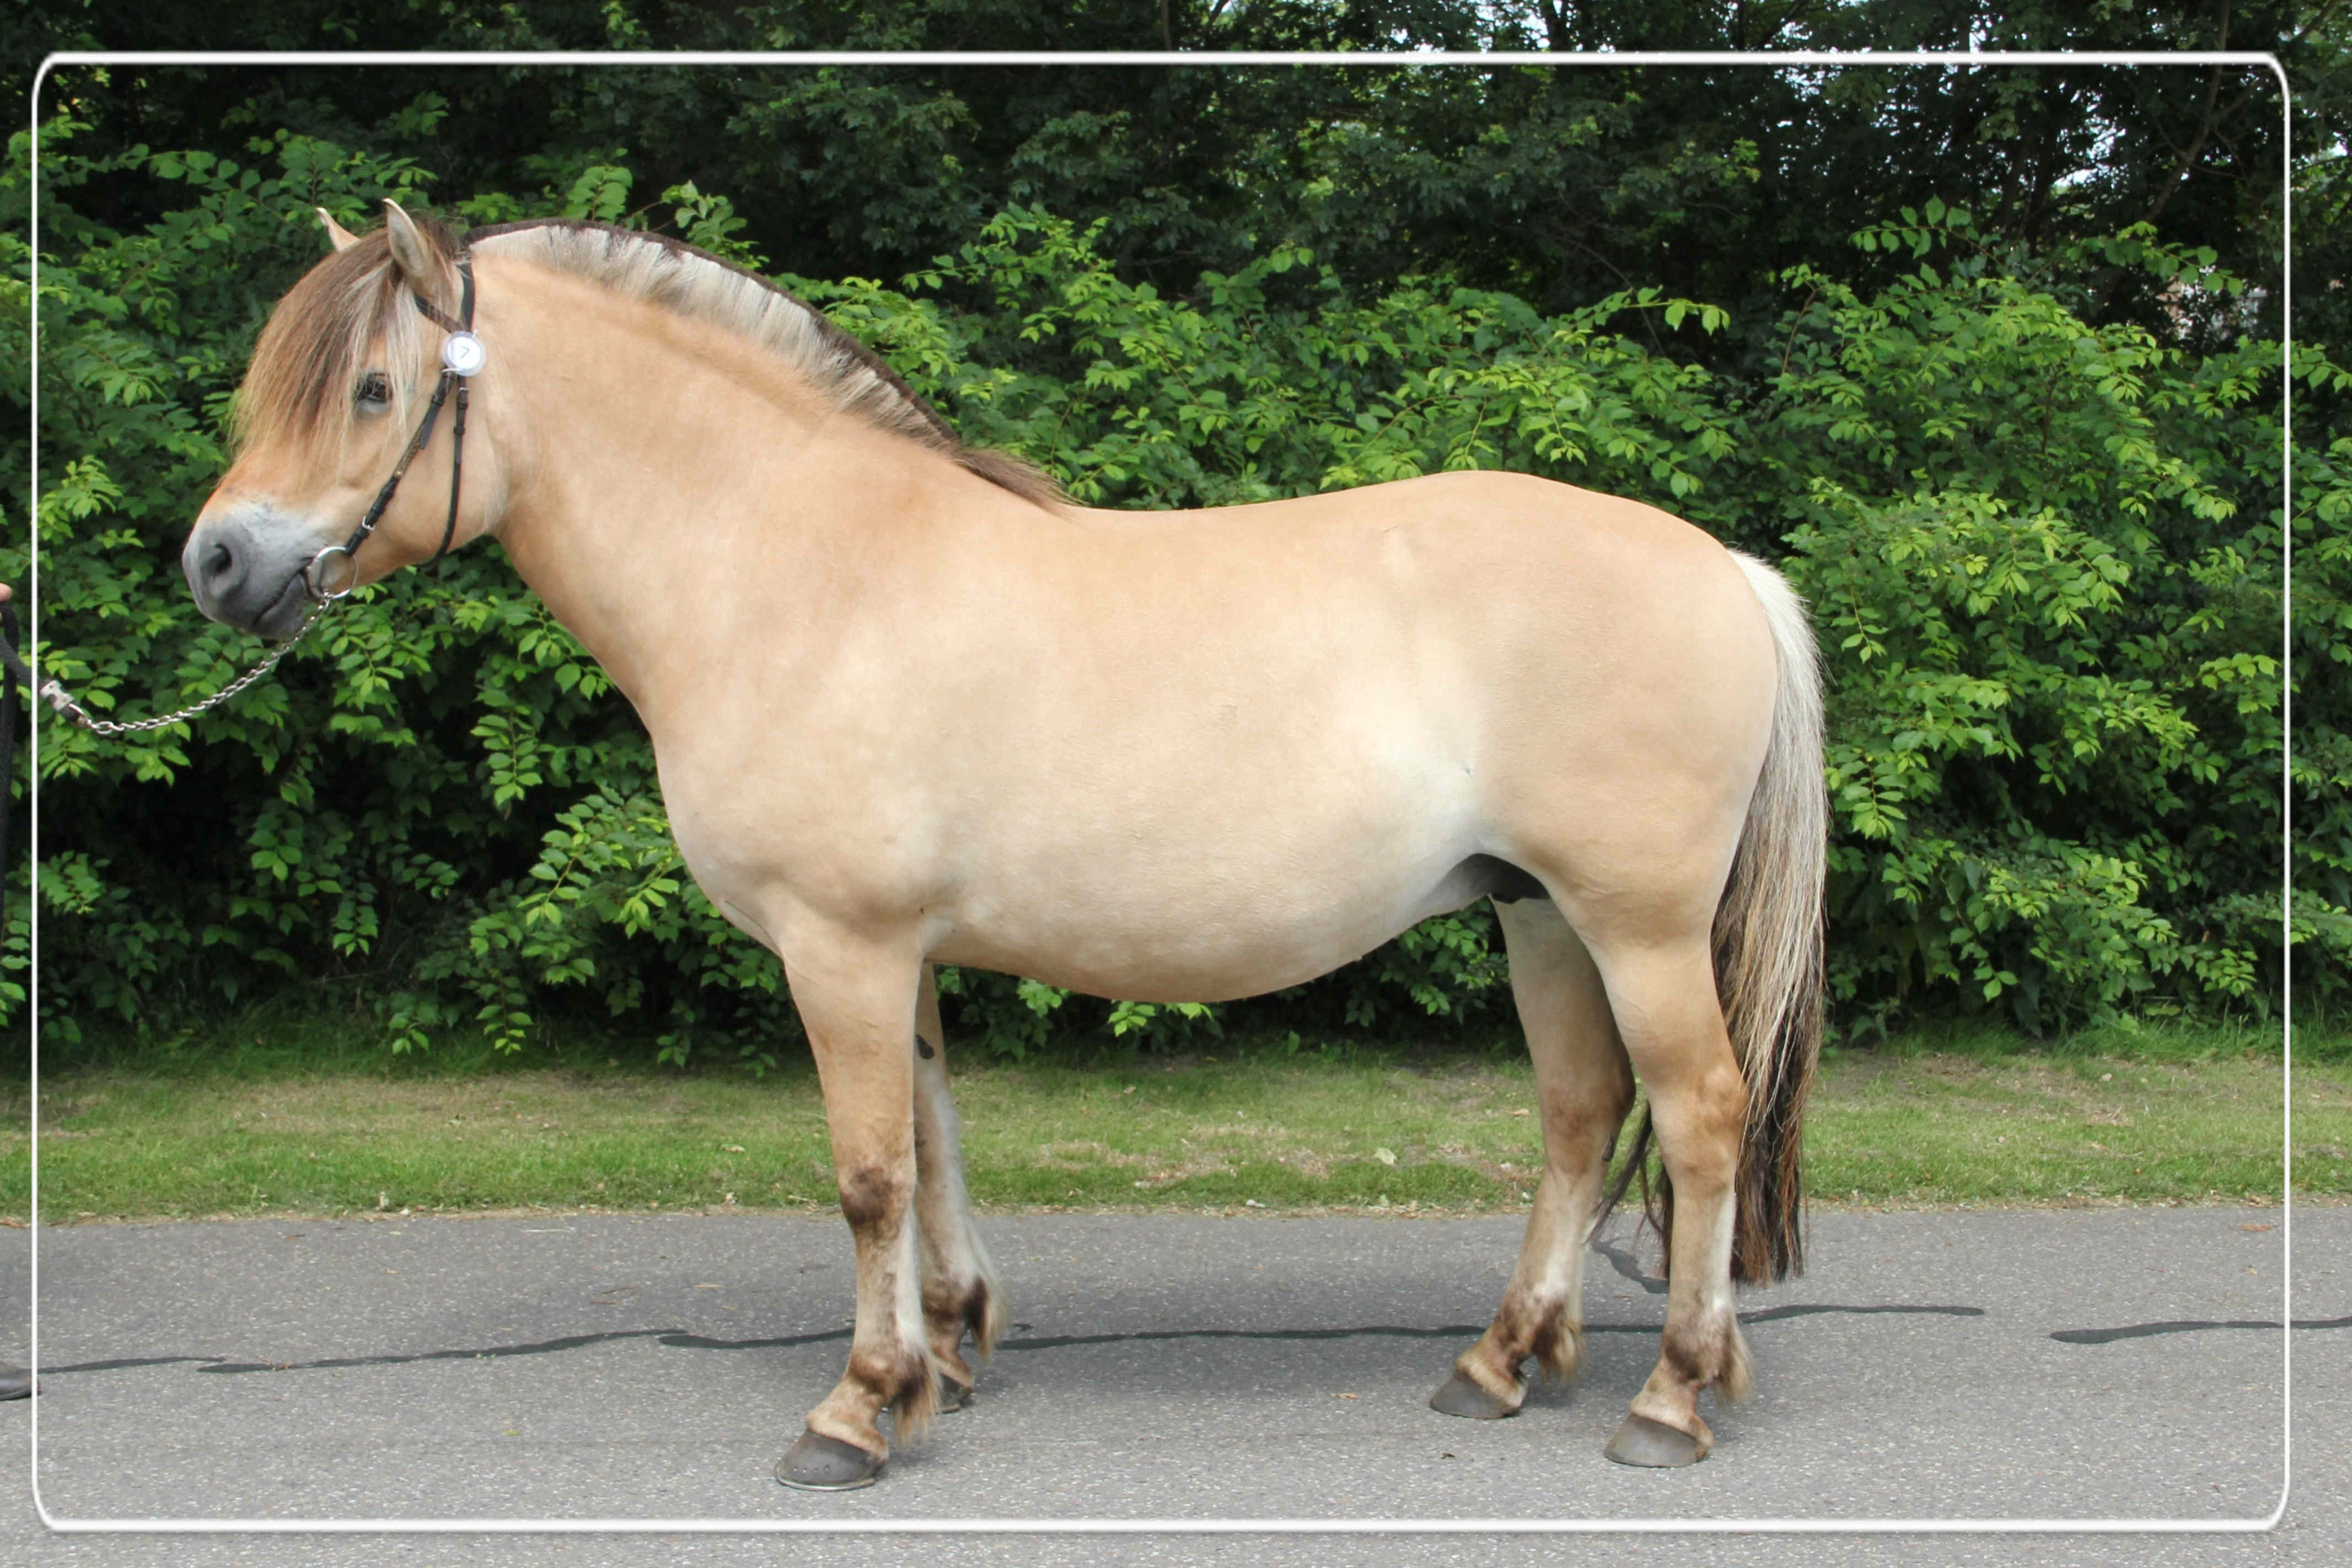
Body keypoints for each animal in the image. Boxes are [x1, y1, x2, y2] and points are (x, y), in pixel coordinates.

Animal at [180, 200, 1826, 1489]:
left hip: (1636, 926)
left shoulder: (838, 944)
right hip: (1536, 913)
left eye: (374, 389)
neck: (788, 567)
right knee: (1576, 1112)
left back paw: (1669, 1396)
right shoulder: (888, 948)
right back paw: (1501, 1359)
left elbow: (866, 1172)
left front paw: (855, 1411)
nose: (217, 562)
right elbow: (926, 1140)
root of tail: (1724, 568)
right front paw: (946, 1352)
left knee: (1698, 1118)